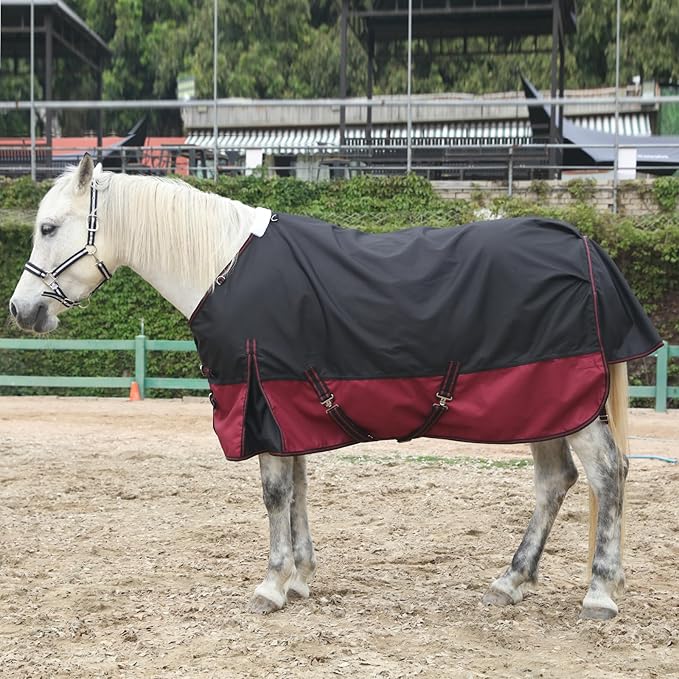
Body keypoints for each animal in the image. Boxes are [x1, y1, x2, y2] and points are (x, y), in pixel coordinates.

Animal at [9, 155, 661, 620]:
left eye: (49, 227)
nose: (20, 310)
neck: (221, 267)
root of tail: (584, 246)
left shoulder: (261, 402)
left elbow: (275, 494)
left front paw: (271, 585)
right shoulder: (283, 406)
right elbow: (296, 489)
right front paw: (299, 578)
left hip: (570, 408)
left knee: (607, 473)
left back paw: (599, 594)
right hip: (544, 407)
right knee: (555, 481)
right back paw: (511, 581)